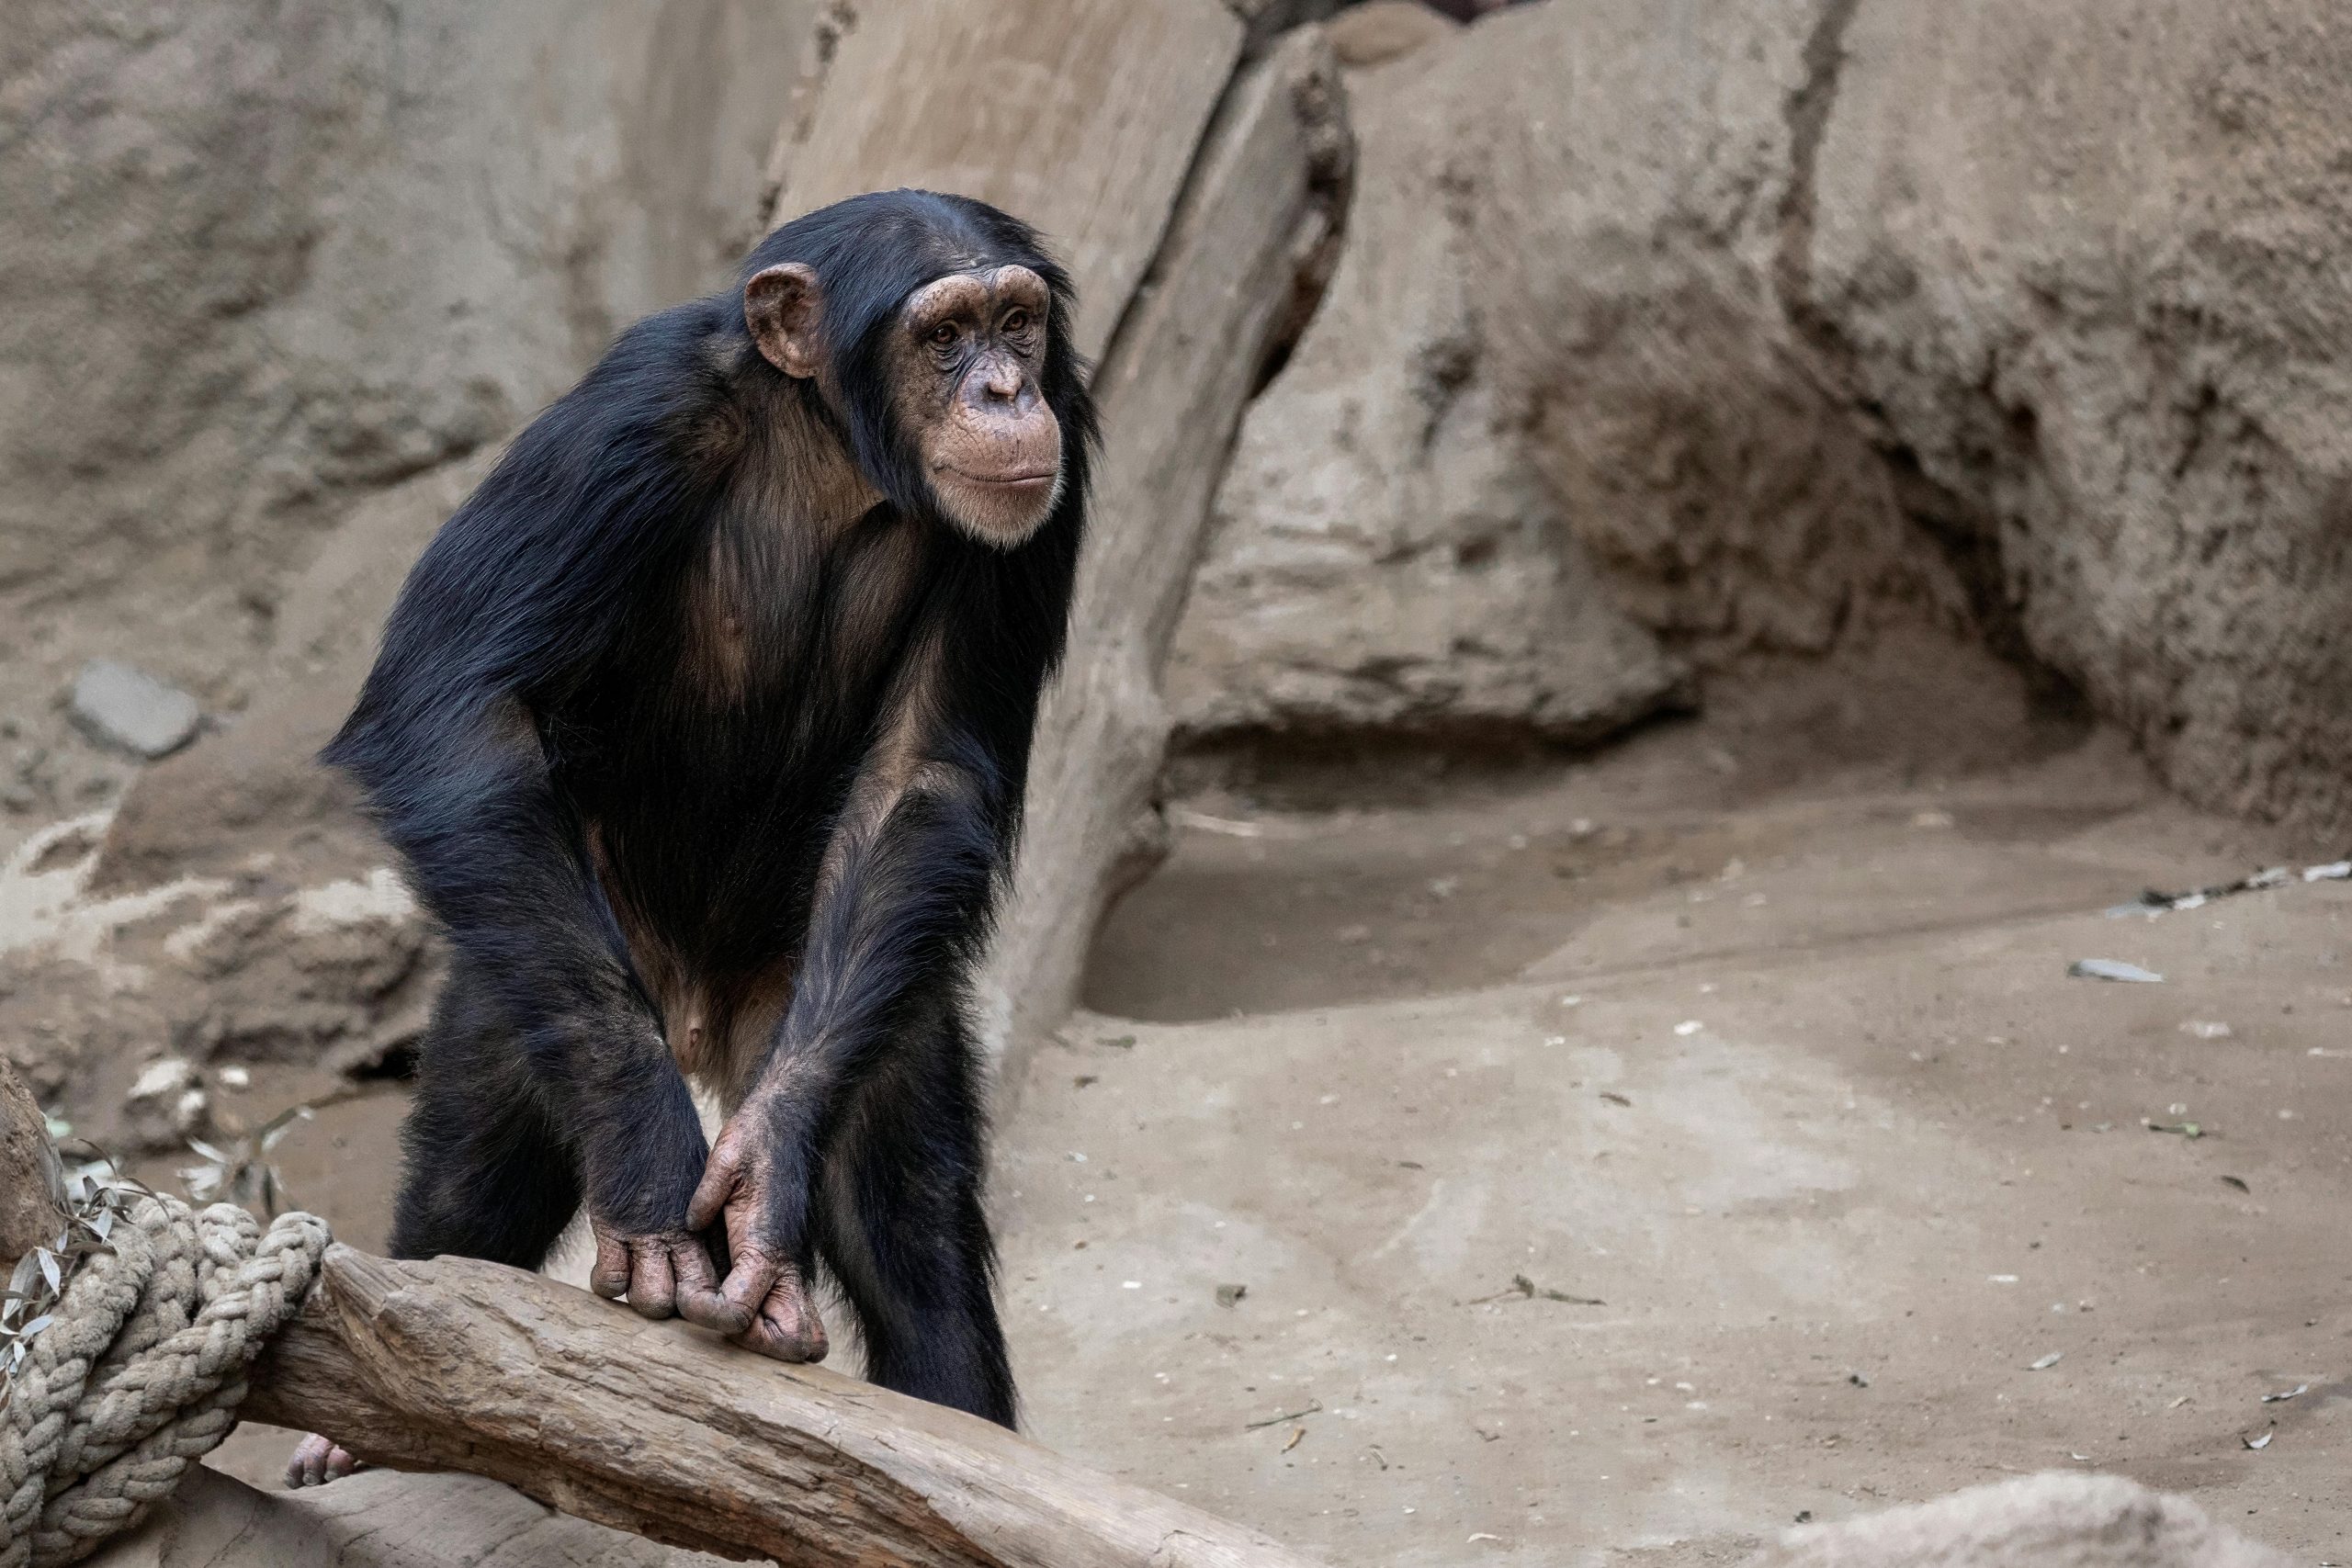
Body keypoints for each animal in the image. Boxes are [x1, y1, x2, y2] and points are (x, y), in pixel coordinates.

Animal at [285, 189, 1096, 1486]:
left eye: (1017, 324)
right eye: (941, 337)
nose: (1004, 392)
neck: (831, 452)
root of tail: (705, 1020)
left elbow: (919, 772)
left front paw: (760, 1175)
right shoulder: (629, 418)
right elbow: (454, 702)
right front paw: (654, 1172)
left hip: (835, 998)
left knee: (911, 1227)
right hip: (550, 942)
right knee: (476, 1166)